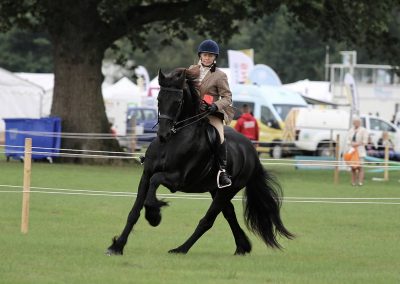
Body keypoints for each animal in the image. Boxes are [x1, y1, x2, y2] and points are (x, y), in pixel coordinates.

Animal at [107, 67, 294, 255]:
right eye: (159, 99)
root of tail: (252, 151)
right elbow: (135, 210)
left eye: (178, 101)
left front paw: (154, 215)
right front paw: (117, 246)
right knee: (229, 213)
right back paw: (242, 247)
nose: (163, 134)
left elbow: (155, 181)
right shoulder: (146, 174)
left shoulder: (176, 179)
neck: (172, 140)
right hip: (215, 189)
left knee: (208, 220)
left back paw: (181, 249)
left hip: (229, 189)